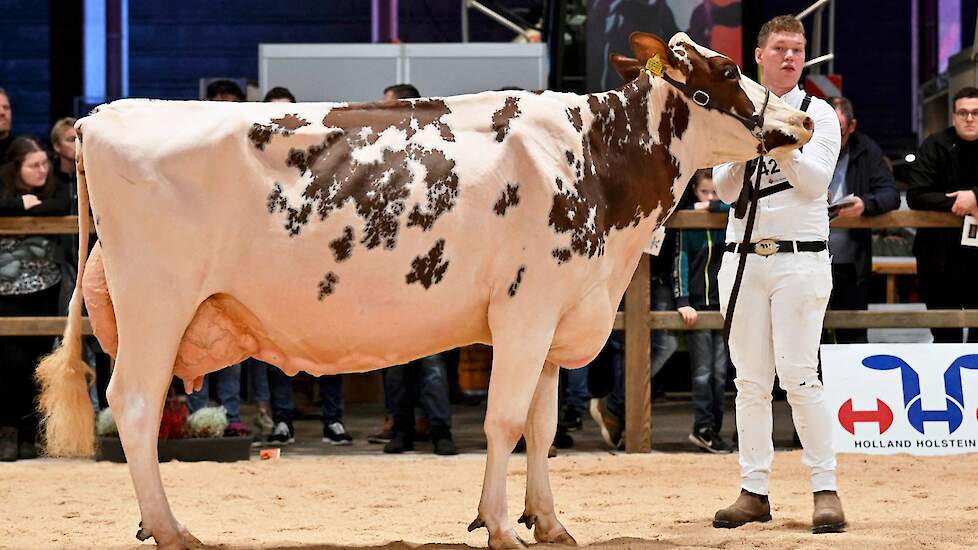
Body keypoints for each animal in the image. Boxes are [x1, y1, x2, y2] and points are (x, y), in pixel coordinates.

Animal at [36, 32, 808, 548]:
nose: (802, 119)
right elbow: (503, 422)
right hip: (155, 304)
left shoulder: (557, 318)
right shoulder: (524, 310)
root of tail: (104, 115)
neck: (591, 161)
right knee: (135, 405)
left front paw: (550, 522)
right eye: (730, 68)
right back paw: (172, 529)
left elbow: (543, 427)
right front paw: (499, 526)